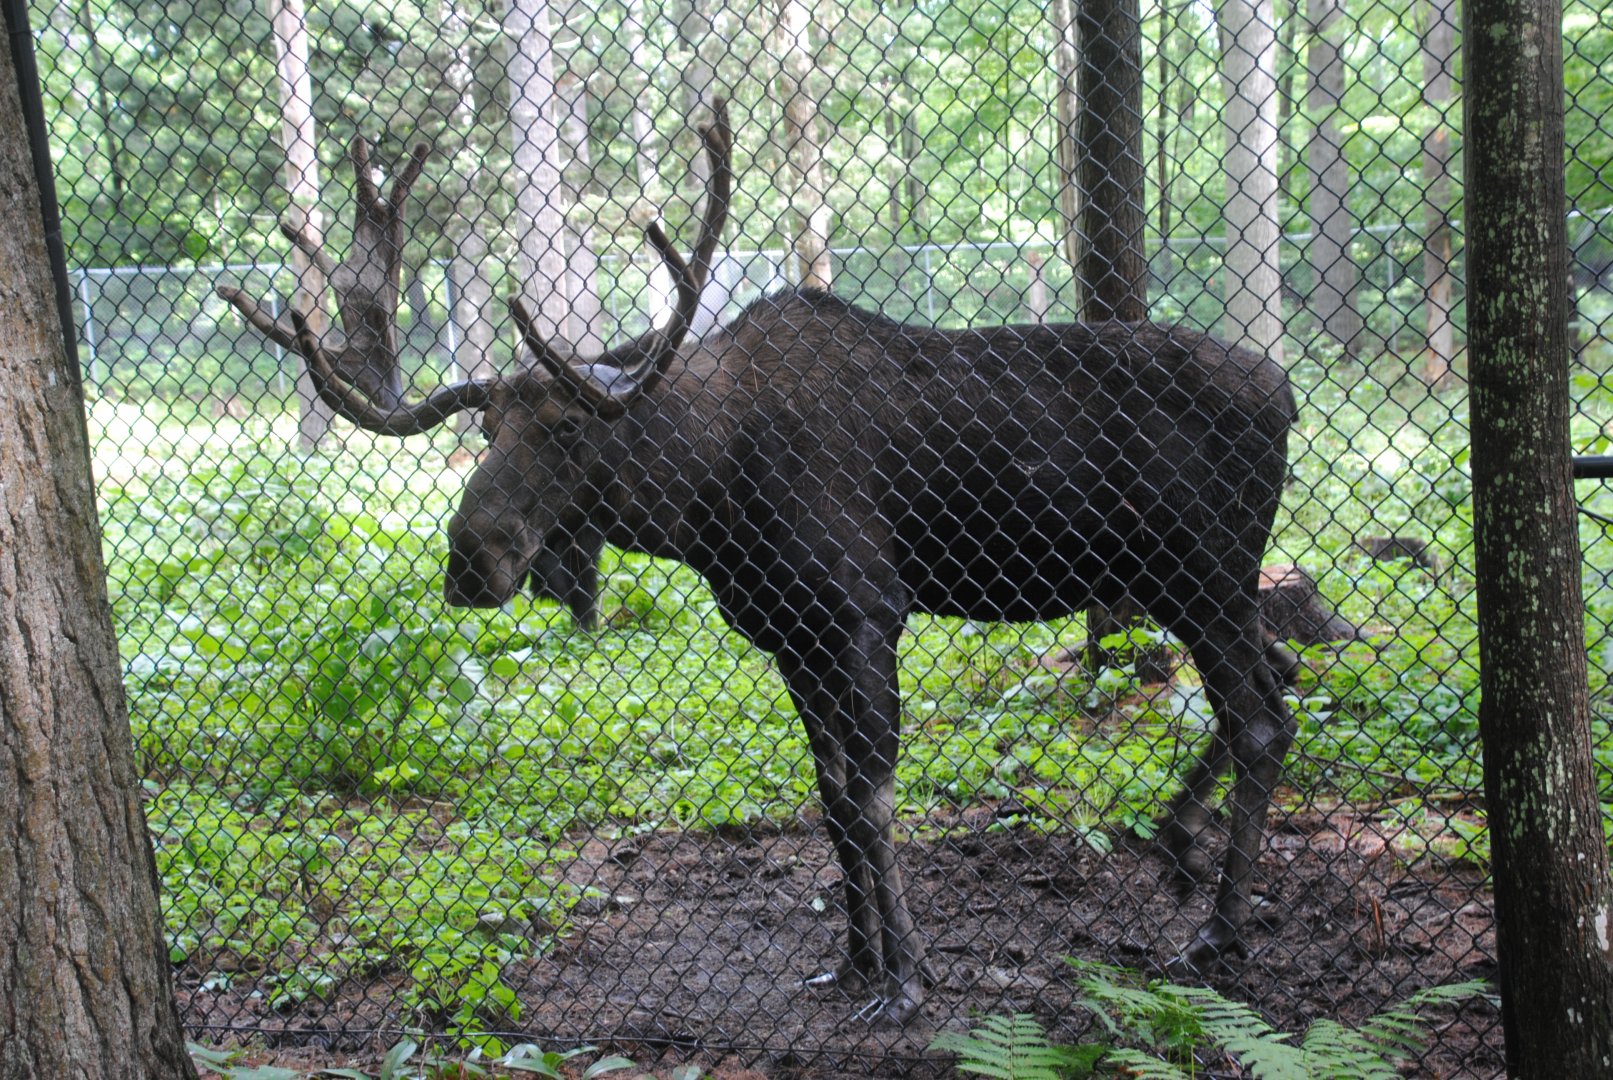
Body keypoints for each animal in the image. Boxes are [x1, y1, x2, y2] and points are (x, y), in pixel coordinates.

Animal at [219, 100, 1297, 1026]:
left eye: (567, 427)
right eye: (485, 427)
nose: (469, 560)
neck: (705, 509)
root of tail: (1286, 395)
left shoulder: (864, 612)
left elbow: (873, 797)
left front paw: (908, 979)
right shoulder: (788, 635)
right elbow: (829, 799)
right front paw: (854, 960)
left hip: (1203, 575)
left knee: (1257, 719)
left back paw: (1215, 928)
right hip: (1188, 584)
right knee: (1279, 687)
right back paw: (1177, 850)